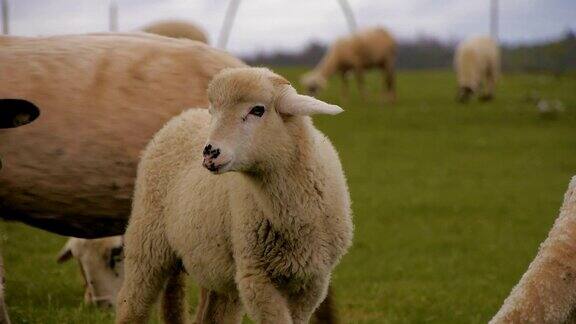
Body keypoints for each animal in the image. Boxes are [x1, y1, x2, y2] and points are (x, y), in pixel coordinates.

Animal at [115, 67, 354, 322]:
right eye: (214, 112)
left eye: (258, 110)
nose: (209, 153)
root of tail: (183, 116)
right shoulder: (256, 277)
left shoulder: (313, 282)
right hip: (147, 243)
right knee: (130, 304)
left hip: (217, 268)